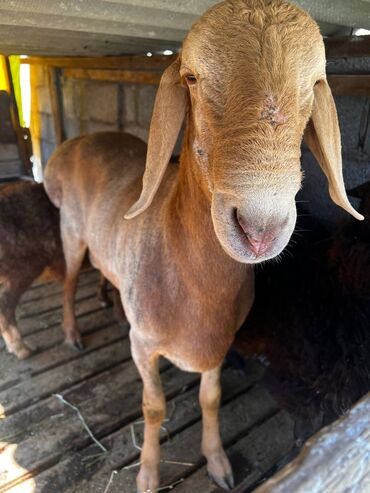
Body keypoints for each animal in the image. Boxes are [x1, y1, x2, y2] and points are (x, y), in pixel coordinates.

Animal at [42, 1, 362, 490]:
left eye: (314, 84)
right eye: (191, 77)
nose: (259, 228)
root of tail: (80, 141)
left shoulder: (219, 341)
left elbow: (210, 397)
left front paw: (217, 462)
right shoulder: (142, 343)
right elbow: (153, 408)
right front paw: (148, 474)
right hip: (72, 231)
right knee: (69, 279)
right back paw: (73, 334)